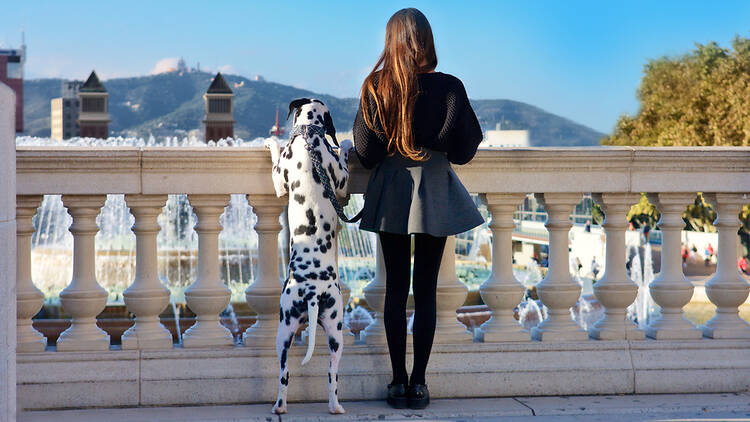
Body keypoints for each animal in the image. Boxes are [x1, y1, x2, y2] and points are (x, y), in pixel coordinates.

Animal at [266, 97, 354, 414]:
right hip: (334, 333)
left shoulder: (280, 182)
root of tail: (314, 292)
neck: (309, 138)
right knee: (331, 374)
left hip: (284, 330)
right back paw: (333, 406)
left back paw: (281, 406)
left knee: (284, 373)